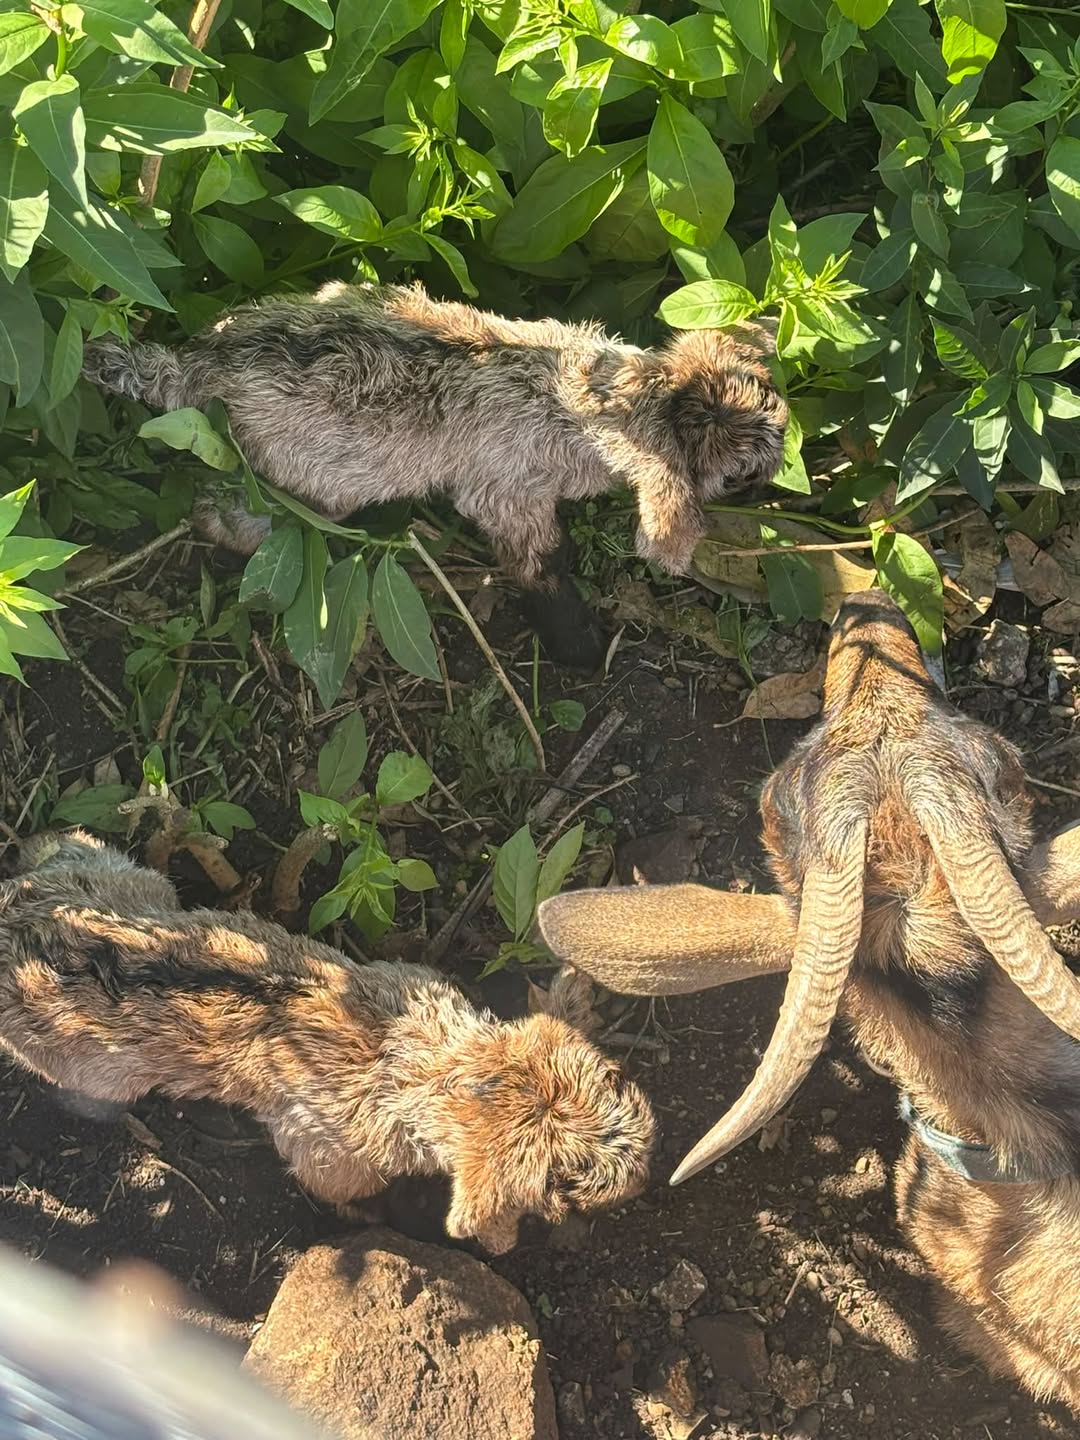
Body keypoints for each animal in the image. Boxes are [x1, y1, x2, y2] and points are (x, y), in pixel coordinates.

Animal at [2, 829, 654, 1255]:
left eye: (616, 1078)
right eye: (561, 1181)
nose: (641, 1175)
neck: (426, 1062)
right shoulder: (327, 1155)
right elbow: (344, 1189)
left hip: (127, 878)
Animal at [82, 281, 787, 672]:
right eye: (740, 477)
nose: (779, 480)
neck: (613, 397)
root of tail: (197, 366)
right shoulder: (510, 490)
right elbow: (541, 562)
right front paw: (582, 646)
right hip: (311, 478)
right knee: (232, 511)